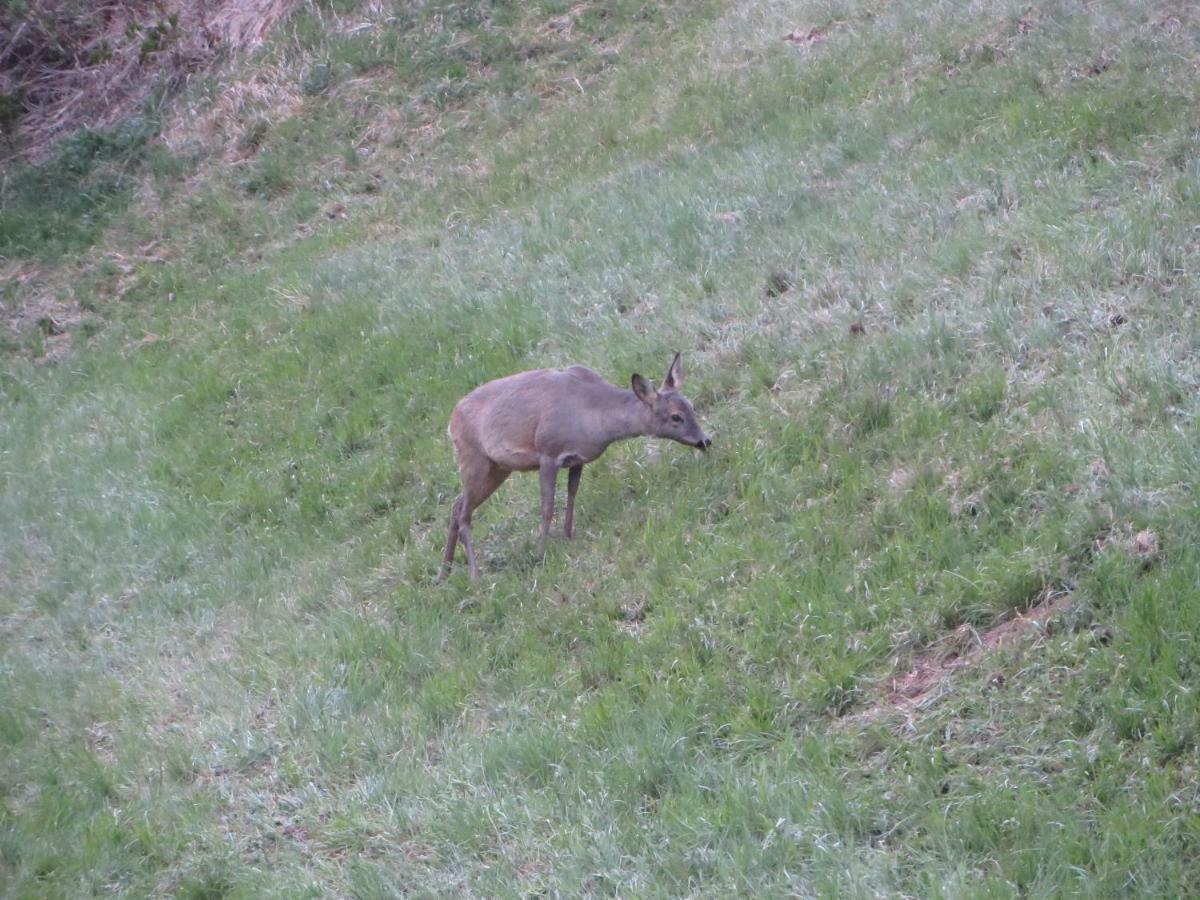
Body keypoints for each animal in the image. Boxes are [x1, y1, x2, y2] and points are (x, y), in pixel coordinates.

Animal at [441, 350, 705, 578]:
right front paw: (541, 550)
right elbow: (547, 507)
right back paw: (475, 575)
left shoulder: (578, 459)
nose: (705, 440)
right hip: (473, 458)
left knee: (456, 506)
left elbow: (572, 493)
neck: (593, 415)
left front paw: (567, 536)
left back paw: (443, 574)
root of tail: (451, 422)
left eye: (691, 406)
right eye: (675, 417)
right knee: (464, 514)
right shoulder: (547, 453)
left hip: (498, 468)